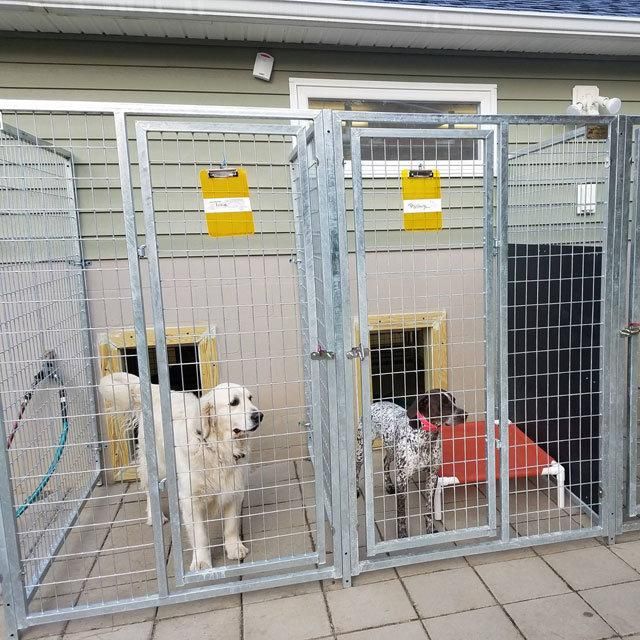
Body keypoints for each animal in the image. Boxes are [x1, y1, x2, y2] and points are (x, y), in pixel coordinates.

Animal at [98, 370, 262, 568]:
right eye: (234, 402)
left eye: (250, 398)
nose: (259, 415)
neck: (216, 448)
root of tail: (156, 394)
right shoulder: (191, 499)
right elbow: (200, 535)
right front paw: (201, 562)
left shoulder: (234, 489)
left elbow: (231, 525)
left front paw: (234, 548)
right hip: (156, 465)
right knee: (149, 490)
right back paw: (155, 516)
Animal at [356, 390, 464, 540]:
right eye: (443, 403)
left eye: (454, 400)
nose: (465, 414)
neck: (426, 437)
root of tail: (376, 403)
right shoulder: (402, 480)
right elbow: (401, 513)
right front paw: (402, 534)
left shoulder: (432, 476)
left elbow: (429, 509)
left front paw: (430, 529)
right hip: (362, 450)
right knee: (356, 469)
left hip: (391, 449)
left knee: (385, 461)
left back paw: (389, 485)